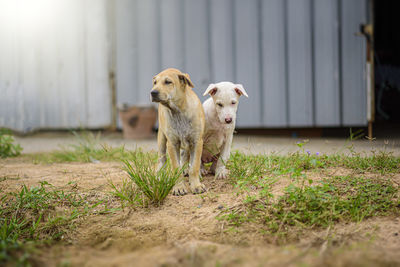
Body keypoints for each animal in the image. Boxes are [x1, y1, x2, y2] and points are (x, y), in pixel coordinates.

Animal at [150, 68, 206, 196]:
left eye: (168, 82)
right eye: (155, 82)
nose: (153, 92)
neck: (178, 111)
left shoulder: (196, 142)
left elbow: (195, 165)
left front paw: (196, 185)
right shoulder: (172, 144)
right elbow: (175, 167)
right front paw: (179, 187)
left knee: (185, 156)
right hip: (161, 137)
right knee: (162, 158)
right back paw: (160, 174)